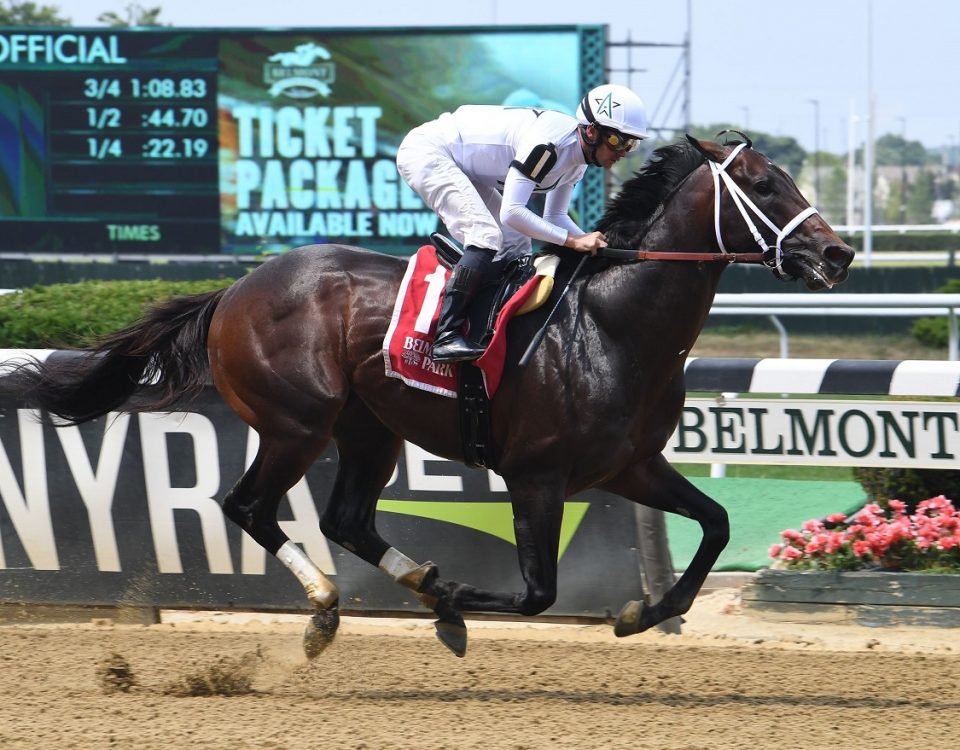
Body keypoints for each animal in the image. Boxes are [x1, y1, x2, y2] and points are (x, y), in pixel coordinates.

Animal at [1, 135, 856, 656]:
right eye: (763, 184)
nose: (839, 253)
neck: (614, 324)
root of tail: (236, 288)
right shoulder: (537, 476)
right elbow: (538, 593)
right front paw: (452, 606)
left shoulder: (630, 466)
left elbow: (715, 524)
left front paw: (641, 613)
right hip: (297, 423)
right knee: (247, 506)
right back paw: (327, 606)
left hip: (368, 430)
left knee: (345, 518)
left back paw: (402, 581)